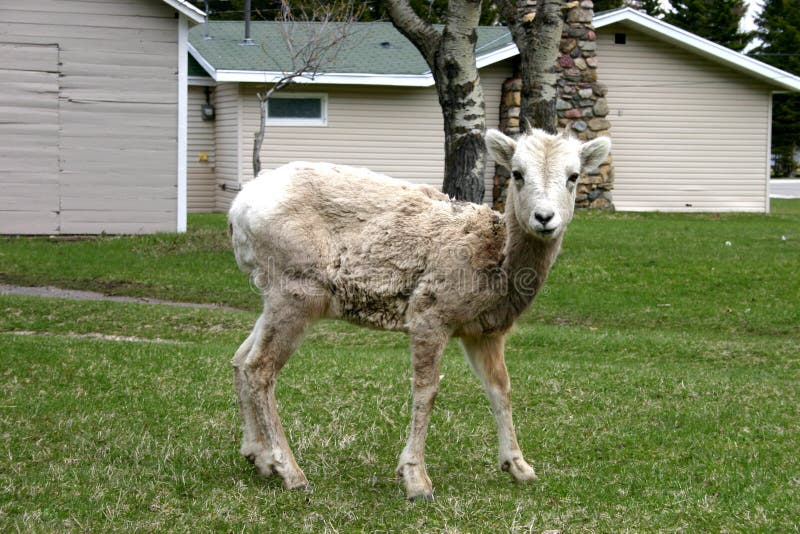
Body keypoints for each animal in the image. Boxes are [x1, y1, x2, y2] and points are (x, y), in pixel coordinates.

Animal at [228, 127, 611, 500]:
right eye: (517, 173)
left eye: (574, 176)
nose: (544, 217)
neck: (496, 266)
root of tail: (236, 212)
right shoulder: (430, 312)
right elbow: (427, 390)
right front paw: (416, 480)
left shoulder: (485, 331)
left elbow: (500, 388)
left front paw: (519, 467)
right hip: (296, 289)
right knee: (260, 367)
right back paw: (292, 472)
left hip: (277, 293)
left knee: (240, 358)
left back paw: (259, 457)